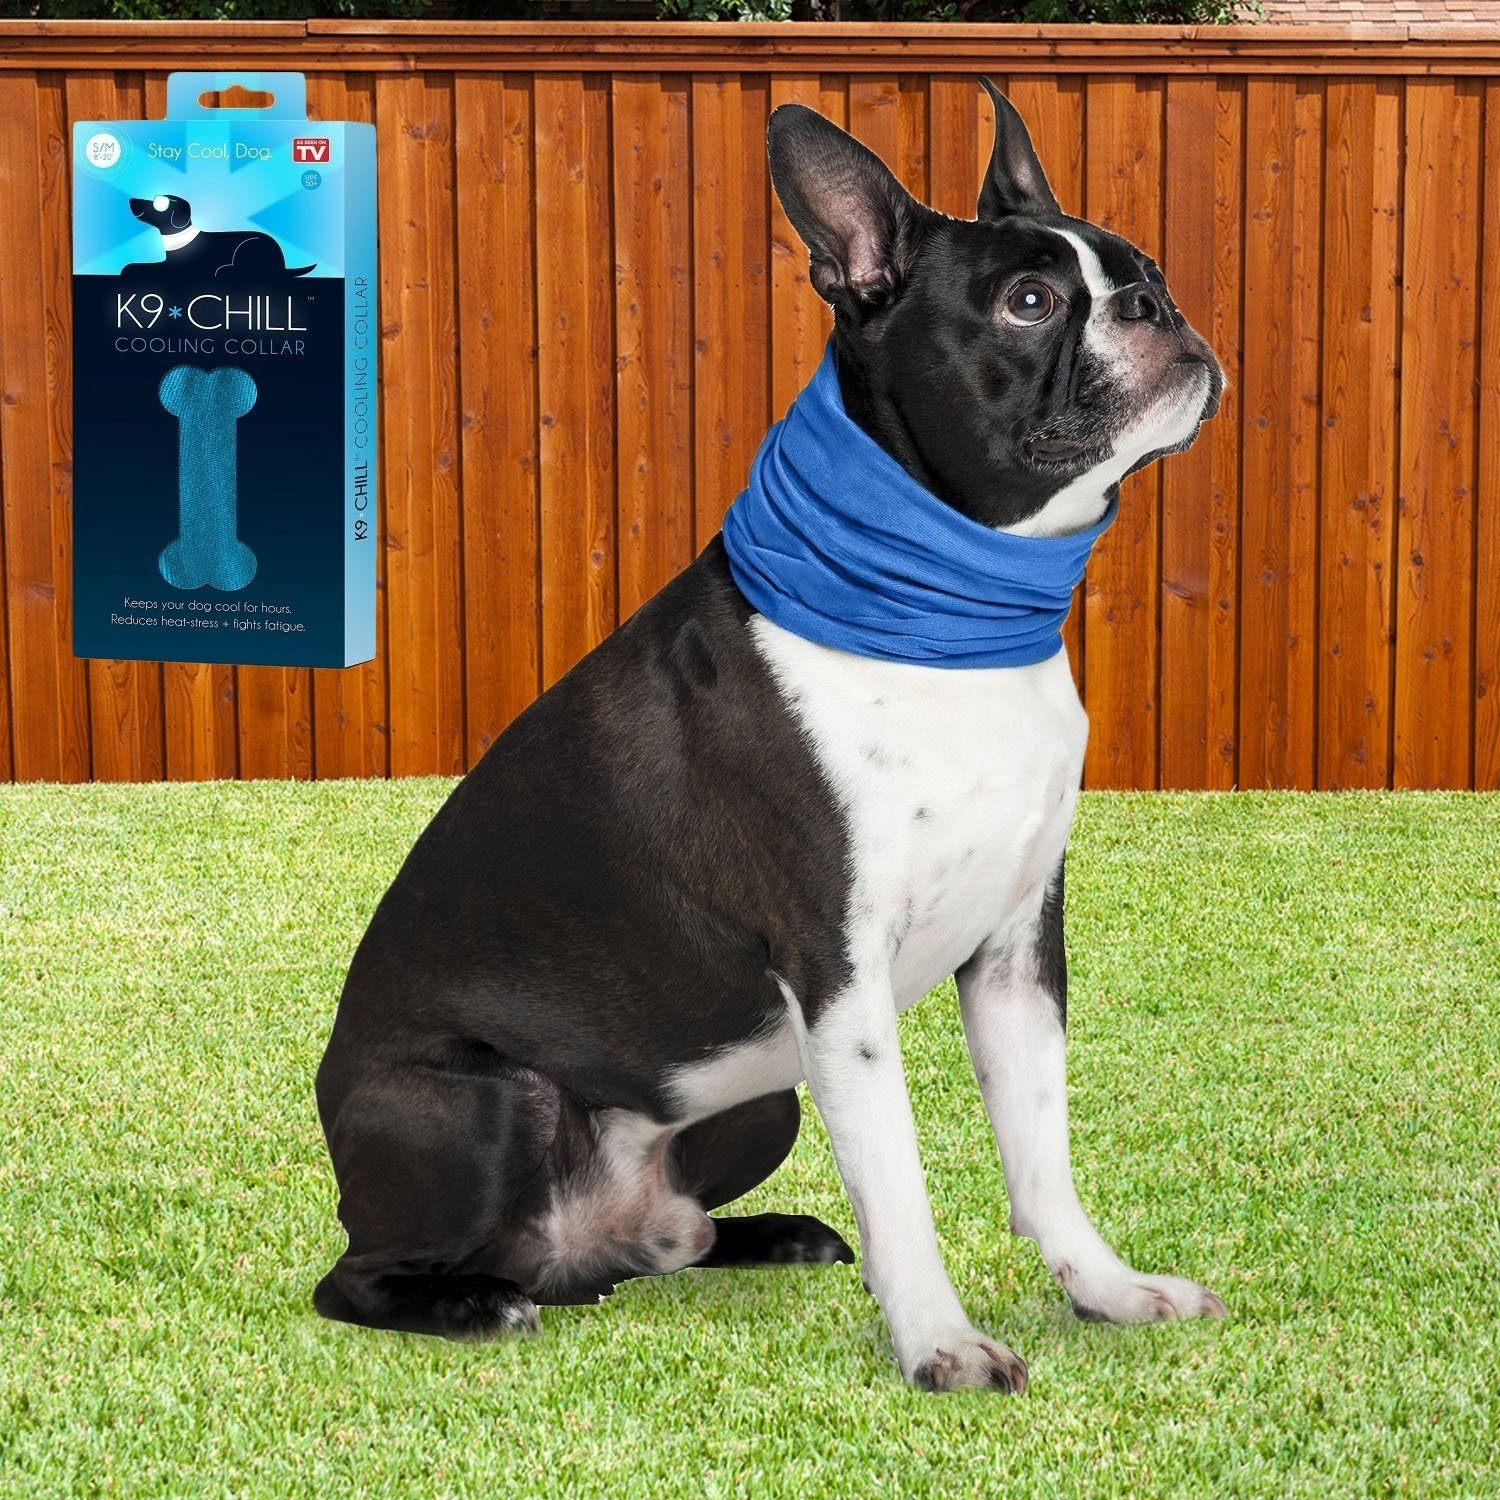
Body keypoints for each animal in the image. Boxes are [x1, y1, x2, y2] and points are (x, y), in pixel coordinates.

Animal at [126, 193, 316, 279]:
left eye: (159, 203)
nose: (131, 200)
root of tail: (283, 265)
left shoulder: (179, 267)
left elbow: (136, 267)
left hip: (248, 247)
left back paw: (224, 270)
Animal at [310, 79, 1224, 1392]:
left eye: (1144, 270)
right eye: (1031, 302)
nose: (1159, 307)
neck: (947, 616)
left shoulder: (1015, 952)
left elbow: (1041, 1151)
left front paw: (1105, 1292)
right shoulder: (837, 974)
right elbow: (901, 1181)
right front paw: (941, 1345)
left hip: (756, 1101)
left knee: (669, 1238)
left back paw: (761, 1235)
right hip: (489, 1109)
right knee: (360, 1277)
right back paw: (476, 1303)